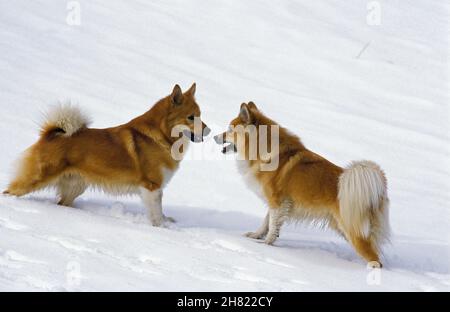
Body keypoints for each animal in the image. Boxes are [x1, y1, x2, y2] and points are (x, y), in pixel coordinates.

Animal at [214, 103, 390, 268]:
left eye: (229, 130)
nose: (215, 136)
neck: (262, 149)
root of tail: (376, 192)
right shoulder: (277, 204)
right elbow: (266, 222)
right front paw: (256, 236)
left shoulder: (277, 202)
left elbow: (272, 225)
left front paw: (265, 245)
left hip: (353, 229)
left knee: (374, 258)